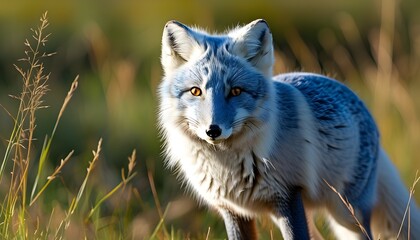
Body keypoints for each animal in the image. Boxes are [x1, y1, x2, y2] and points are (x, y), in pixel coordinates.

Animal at [158, 19, 420, 240]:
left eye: (236, 91)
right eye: (196, 91)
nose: (213, 130)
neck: (228, 167)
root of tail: (354, 96)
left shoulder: (287, 197)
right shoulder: (233, 210)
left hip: (347, 215)